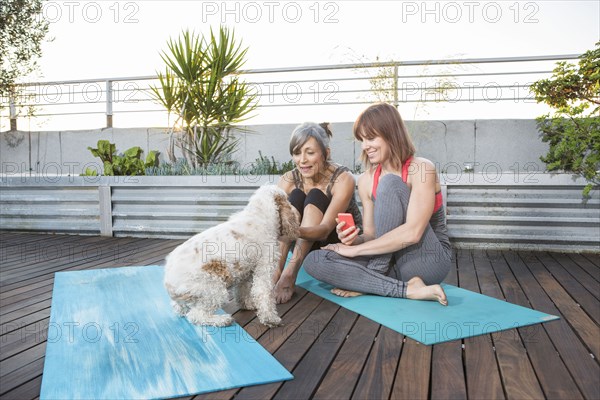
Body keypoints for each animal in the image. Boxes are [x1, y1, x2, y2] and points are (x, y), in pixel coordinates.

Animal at [164, 186, 300, 326]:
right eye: (287, 198)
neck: (259, 214)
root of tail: (168, 281)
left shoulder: (245, 272)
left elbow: (243, 290)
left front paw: (248, 305)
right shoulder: (264, 269)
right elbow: (263, 294)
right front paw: (271, 319)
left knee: (179, 308)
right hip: (214, 291)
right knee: (196, 315)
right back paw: (223, 319)